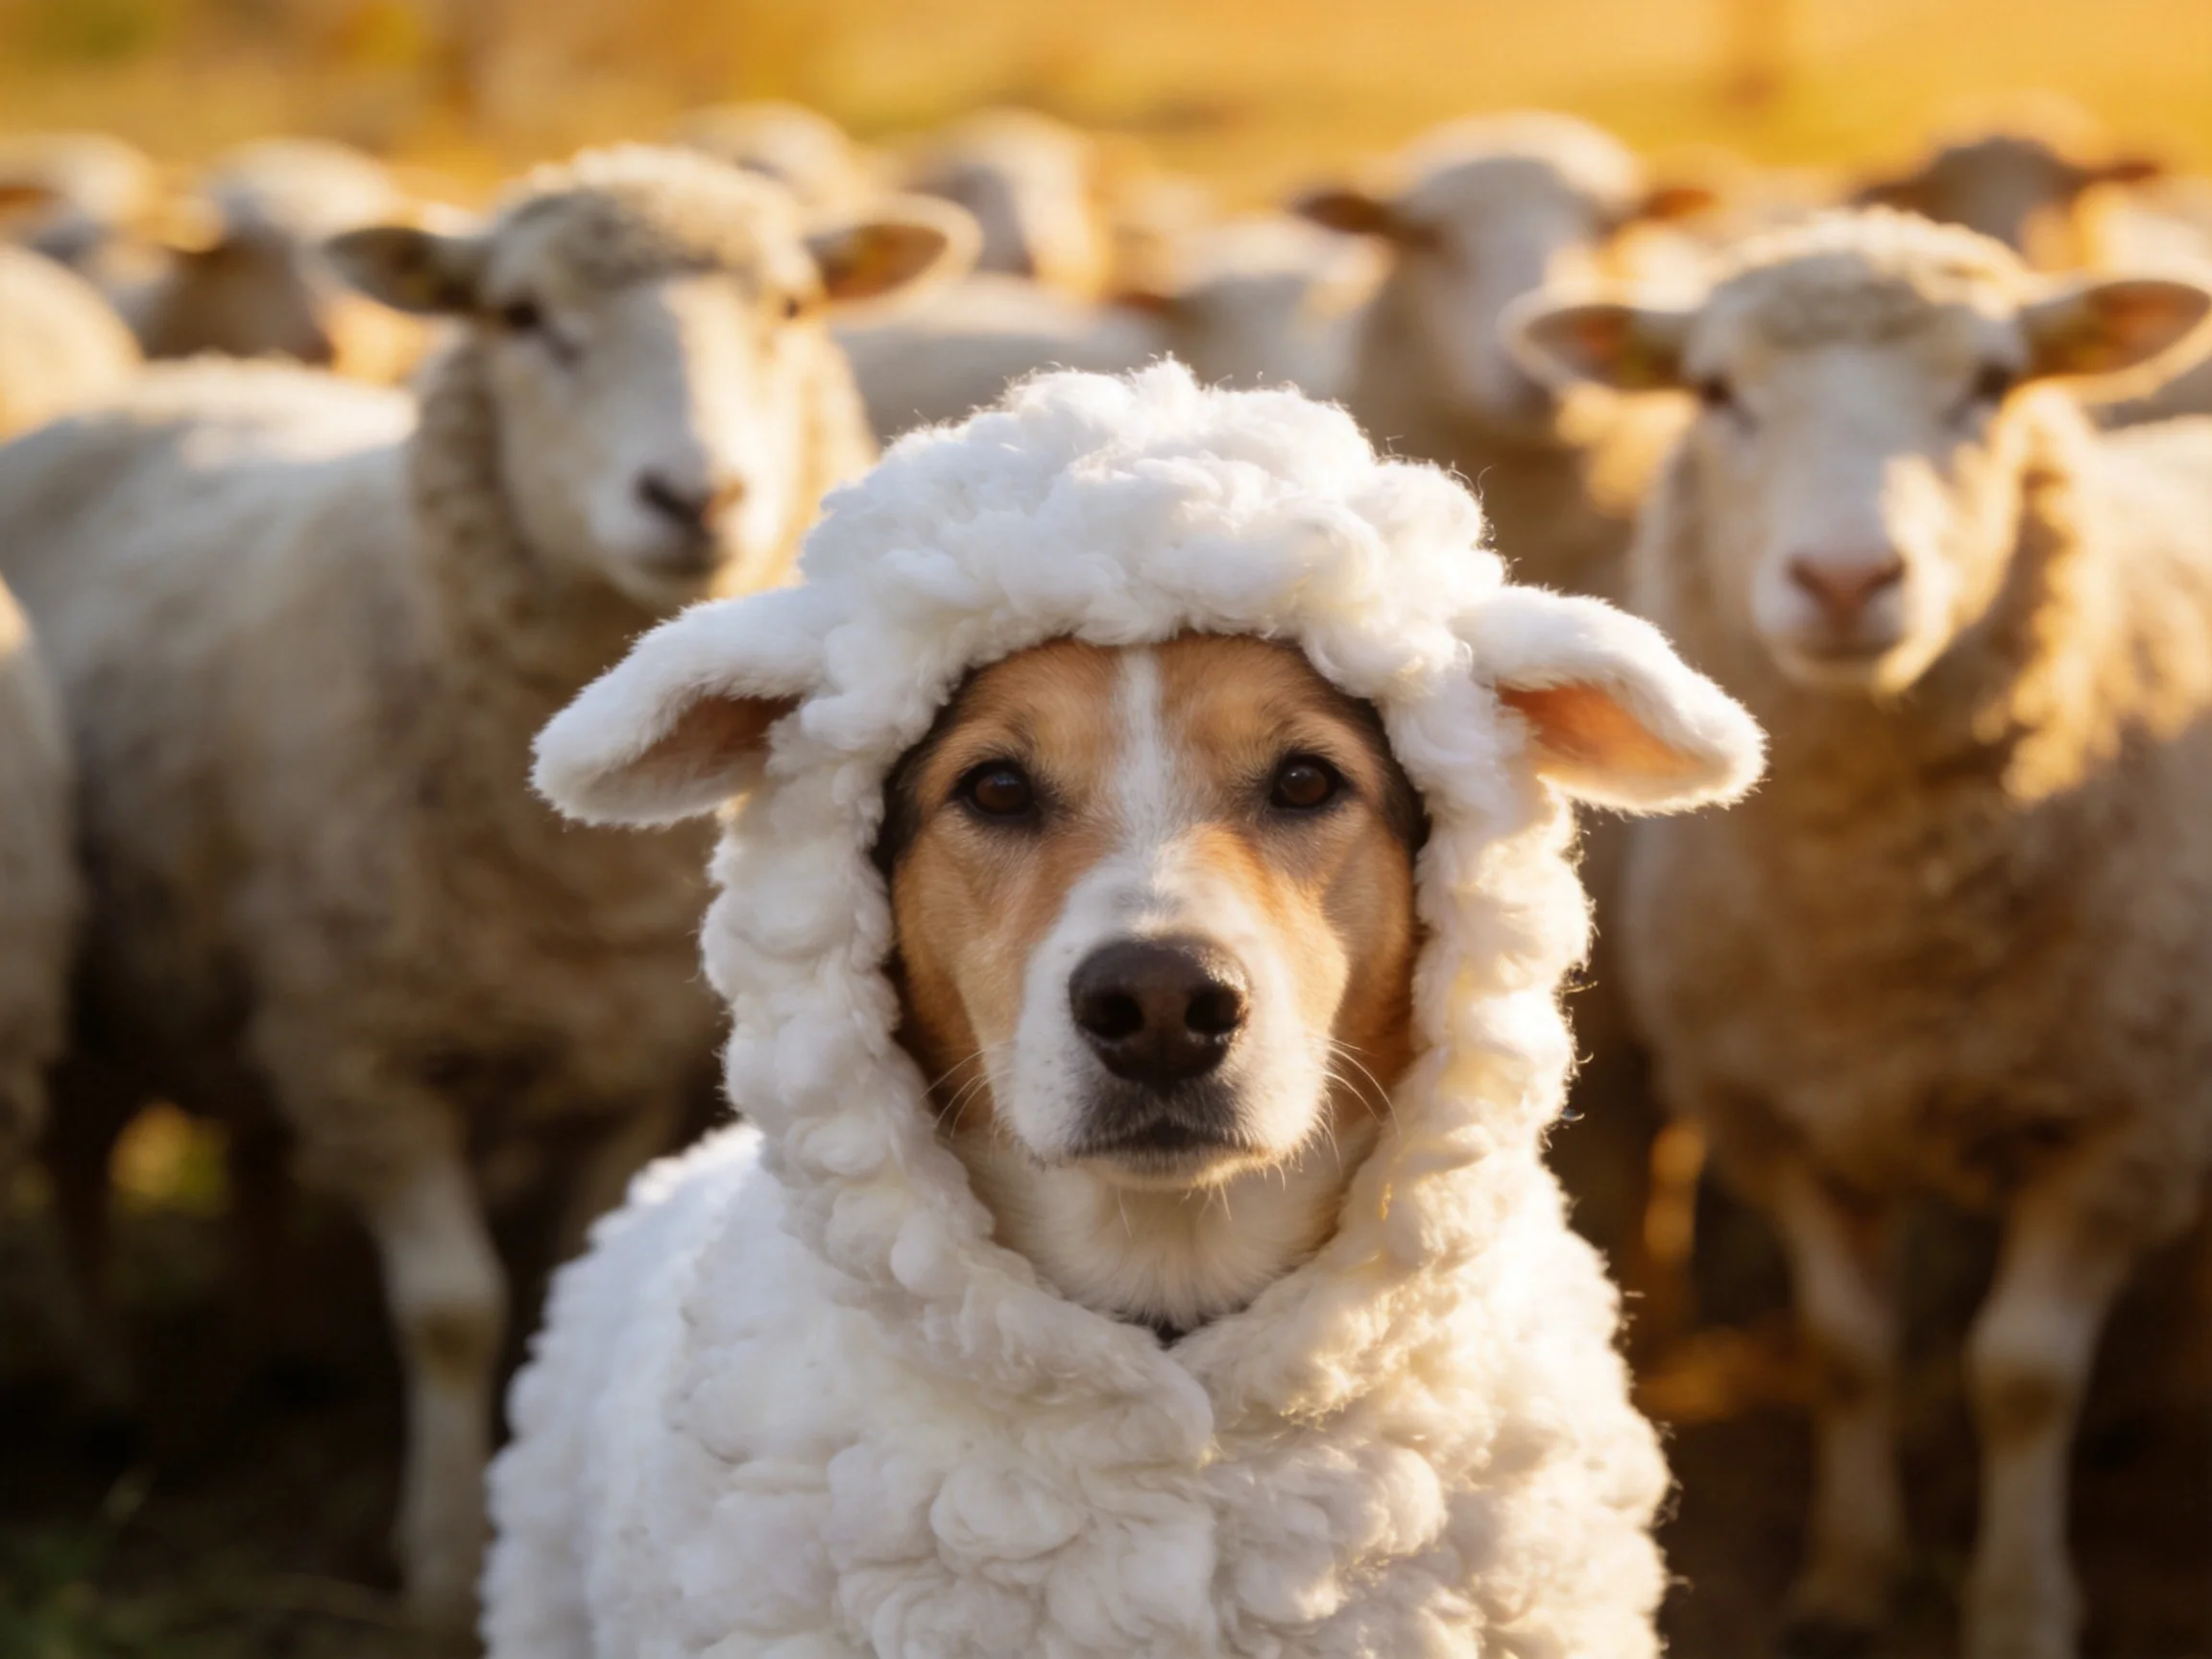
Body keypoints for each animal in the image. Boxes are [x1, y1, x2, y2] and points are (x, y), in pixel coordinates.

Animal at [1515, 208, 2212, 1659]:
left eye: (1995, 384)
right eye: (1715, 389)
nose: (1846, 579)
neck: (1881, 939)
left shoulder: (2121, 1126)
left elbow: (2020, 1377)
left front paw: (2018, 1607)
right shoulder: (1780, 1116)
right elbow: (1847, 1352)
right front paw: (1848, 1577)